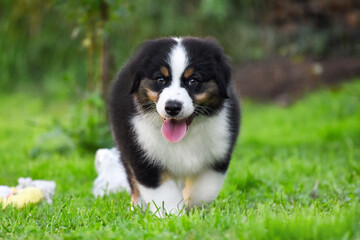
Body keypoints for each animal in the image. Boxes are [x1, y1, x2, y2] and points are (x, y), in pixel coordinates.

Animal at [108, 36, 240, 217]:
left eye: (193, 81)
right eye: (160, 80)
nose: (172, 107)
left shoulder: (218, 154)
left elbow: (204, 191)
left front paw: (191, 209)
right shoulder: (142, 156)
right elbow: (163, 194)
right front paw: (173, 217)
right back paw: (137, 208)